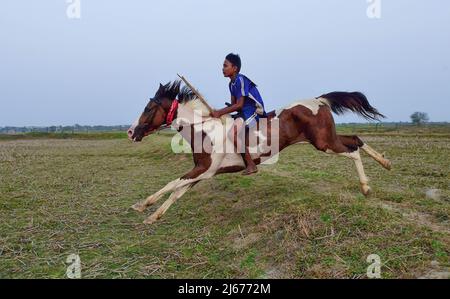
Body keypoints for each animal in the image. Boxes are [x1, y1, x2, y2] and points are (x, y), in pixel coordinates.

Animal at [126, 81, 390, 224]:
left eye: (148, 108)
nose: (130, 132)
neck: (203, 130)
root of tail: (318, 100)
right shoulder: (202, 172)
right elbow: (176, 193)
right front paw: (152, 216)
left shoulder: (204, 170)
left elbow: (172, 184)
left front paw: (141, 205)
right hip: (326, 138)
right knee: (355, 139)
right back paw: (385, 163)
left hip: (324, 143)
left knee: (353, 150)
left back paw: (366, 187)